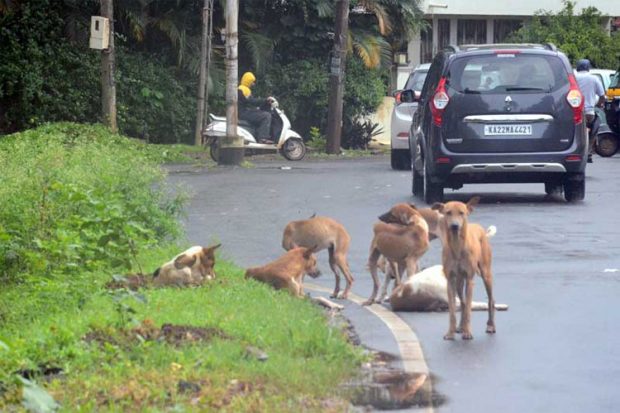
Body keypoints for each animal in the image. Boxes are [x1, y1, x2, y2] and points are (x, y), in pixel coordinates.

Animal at [434, 198, 496, 340]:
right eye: (448, 212)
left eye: (461, 213)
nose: (455, 226)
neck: (457, 245)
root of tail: (480, 229)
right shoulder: (450, 281)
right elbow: (452, 310)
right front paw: (451, 332)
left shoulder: (469, 280)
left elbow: (468, 308)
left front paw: (467, 332)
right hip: (458, 282)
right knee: (462, 302)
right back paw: (460, 327)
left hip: (486, 274)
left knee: (491, 300)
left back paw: (490, 325)